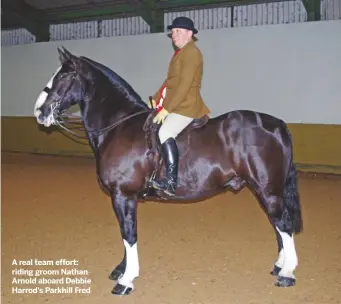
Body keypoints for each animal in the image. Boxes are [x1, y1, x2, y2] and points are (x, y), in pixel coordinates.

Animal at [33, 46, 302, 296]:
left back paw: (287, 274)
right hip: (265, 189)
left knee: (283, 223)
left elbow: (129, 234)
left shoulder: (122, 195)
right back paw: (279, 266)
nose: (39, 112)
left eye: (64, 75)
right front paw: (121, 270)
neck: (118, 126)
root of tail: (277, 124)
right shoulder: (124, 197)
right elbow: (126, 233)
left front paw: (126, 280)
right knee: (278, 224)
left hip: (268, 189)